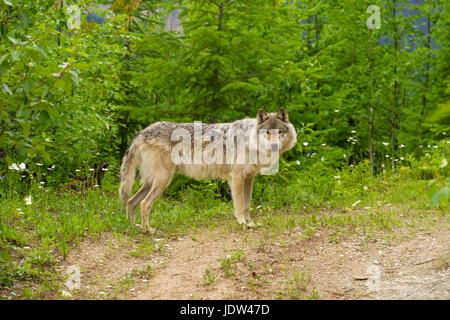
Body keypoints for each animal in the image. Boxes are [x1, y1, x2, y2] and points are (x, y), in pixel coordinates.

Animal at [118, 108, 298, 232]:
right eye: (267, 132)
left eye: (279, 132)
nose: (274, 145)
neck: (250, 140)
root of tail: (142, 132)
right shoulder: (237, 177)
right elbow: (240, 205)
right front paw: (241, 222)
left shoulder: (249, 178)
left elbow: (247, 205)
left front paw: (250, 222)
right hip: (163, 180)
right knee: (144, 203)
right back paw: (148, 230)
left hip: (152, 182)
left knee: (131, 201)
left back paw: (133, 227)